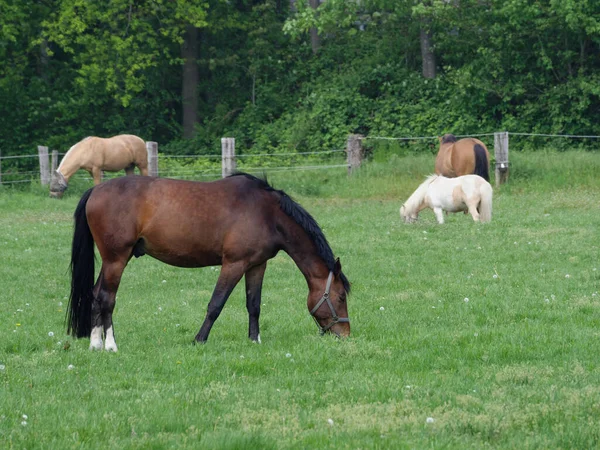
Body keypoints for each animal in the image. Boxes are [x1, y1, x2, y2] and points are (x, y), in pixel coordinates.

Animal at [66, 172, 350, 352]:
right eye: (340, 297)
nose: (345, 334)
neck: (268, 213)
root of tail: (95, 189)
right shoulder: (234, 264)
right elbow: (216, 304)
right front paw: (199, 340)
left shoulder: (256, 265)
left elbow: (254, 305)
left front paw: (254, 340)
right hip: (116, 259)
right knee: (107, 298)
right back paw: (110, 345)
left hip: (110, 262)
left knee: (95, 294)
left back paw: (95, 344)